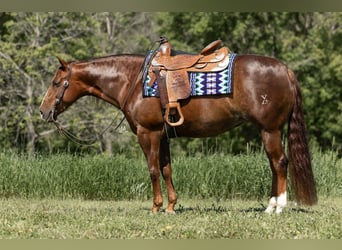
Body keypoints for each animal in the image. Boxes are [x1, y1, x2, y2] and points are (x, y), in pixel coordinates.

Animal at [38, 51, 316, 214]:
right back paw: (270, 206)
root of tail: (285, 70)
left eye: (56, 83)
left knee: (279, 163)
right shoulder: (162, 135)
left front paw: (156, 207)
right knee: (274, 164)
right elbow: (166, 169)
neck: (133, 81)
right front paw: (171, 206)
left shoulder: (147, 133)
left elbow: (152, 170)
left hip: (270, 129)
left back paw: (278, 207)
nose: (43, 111)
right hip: (268, 131)